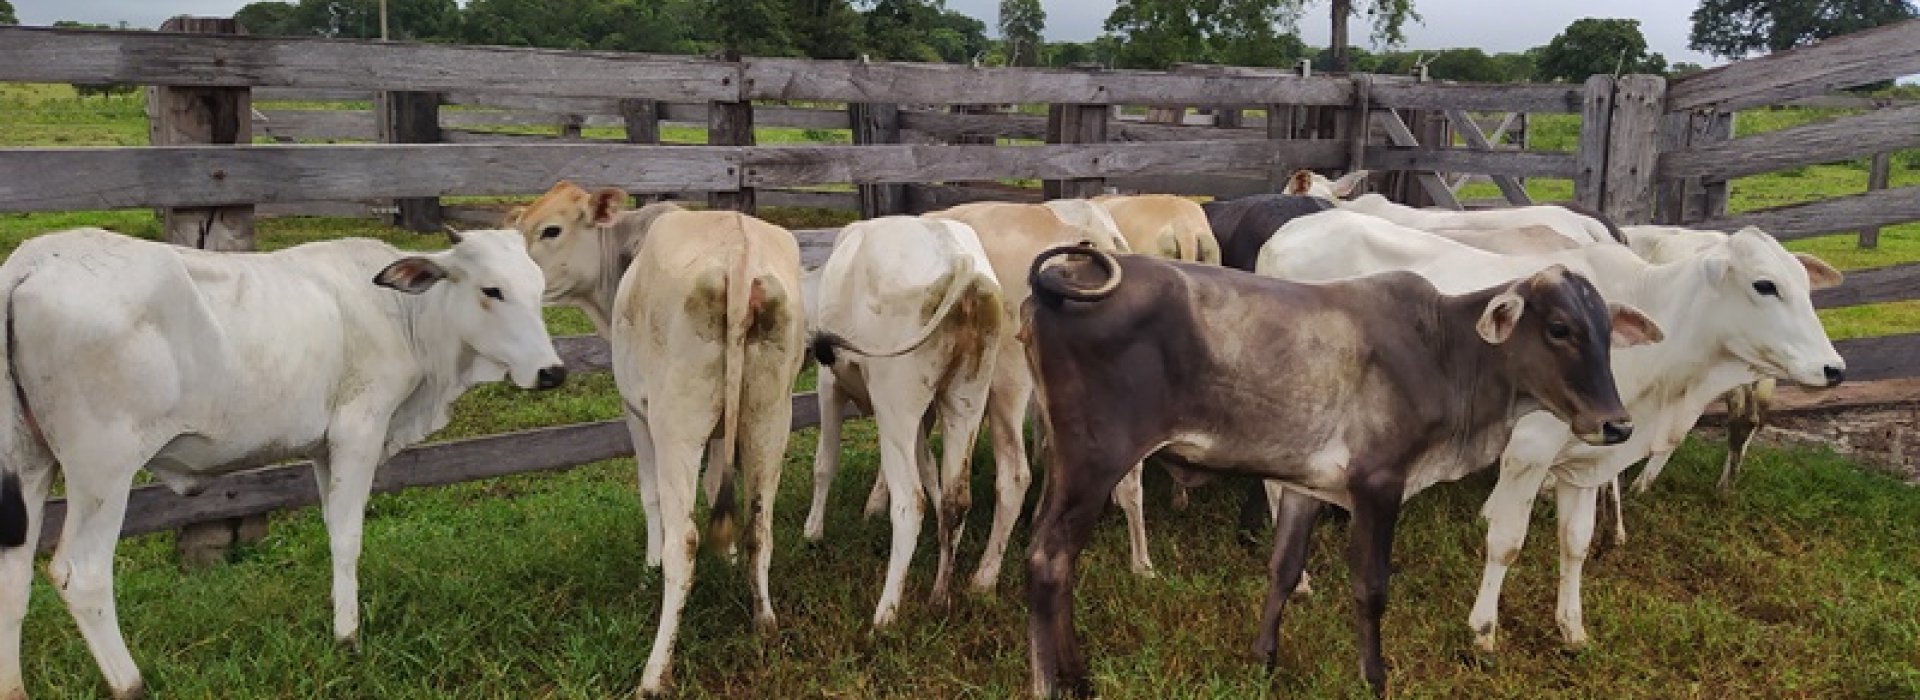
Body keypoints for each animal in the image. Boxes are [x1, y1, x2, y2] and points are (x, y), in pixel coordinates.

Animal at [0, 227, 566, 700]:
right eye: (492, 290)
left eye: (539, 288)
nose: (553, 372)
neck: (403, 313)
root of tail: (30, 262)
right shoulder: (359, 429)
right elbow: (348, 537)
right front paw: (347, 638)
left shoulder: (323, 448)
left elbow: (332, 528)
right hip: (103, 468)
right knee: (82, 574)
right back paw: (130, 683)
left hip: (29, 464)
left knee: (14, 575)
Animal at [507, 185, 808, 695]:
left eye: (550, 230)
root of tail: (740, 254)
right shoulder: (721, 430)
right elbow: (716, 486)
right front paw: (728, 558)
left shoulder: (636, 412)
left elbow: (650, 494)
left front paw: (649, 564)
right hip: (770, 416)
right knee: (759, 524)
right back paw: (763, 622)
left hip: (675, 427)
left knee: (683, 543)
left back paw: (654, 672)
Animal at [807, 216, 1005, 626]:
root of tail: (958, 258)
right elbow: (929, 467)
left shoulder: (828, 384)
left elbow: (824, 462)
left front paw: (813, 532)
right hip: (965, 402)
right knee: (957, 498)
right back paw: (939, 597)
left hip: (894, 402)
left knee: (910, 503)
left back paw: (885, 614)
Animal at [1021, 244, 1654, 697]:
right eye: (1559, 329)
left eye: (1606, 333)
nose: (1617, 424)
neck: (1446, 351)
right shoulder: (1378, 484)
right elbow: (1370, 587)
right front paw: (1375, 678)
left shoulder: (1306, 487)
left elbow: (1282, 570)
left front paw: (1264, 661)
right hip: (1094, 461)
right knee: (1048, 560)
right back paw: (1053, 683)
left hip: (1066, 463)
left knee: (1058, 560)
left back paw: (1078, 676)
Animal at [1255, 212, 1844, 655]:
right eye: (1765, 285)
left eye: (1804, 285)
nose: (1833, 368)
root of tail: (1282, 234)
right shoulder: (1527, 455)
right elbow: (1507, 543)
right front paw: (1484, 630)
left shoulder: (1585, 464)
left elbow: (1576, 543)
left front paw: (1571, 627)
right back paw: (1299, 578)